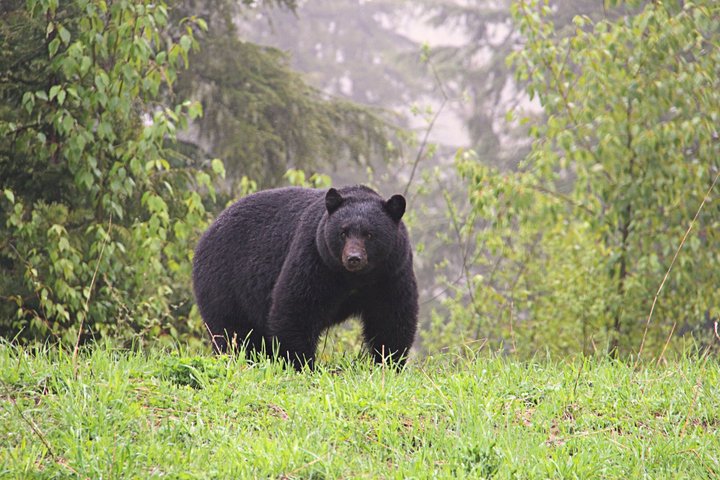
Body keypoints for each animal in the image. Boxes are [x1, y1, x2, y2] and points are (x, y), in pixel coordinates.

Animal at [192, 185, 418, 370]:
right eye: (343, 233)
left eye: (369, 234)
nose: (353, 258)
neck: (354, 278)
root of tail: (205, 236)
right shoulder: (315, 258)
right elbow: (297, 306)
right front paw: (301, 363)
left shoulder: (392, 273)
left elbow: (391, 316)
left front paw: (389, 362)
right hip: (224, 283)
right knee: (232, 330)